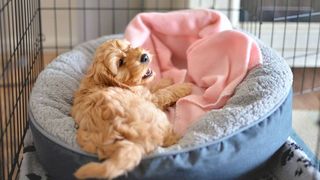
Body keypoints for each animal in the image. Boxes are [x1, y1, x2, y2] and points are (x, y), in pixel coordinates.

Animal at [71, 39, 191, 179]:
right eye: (120, 62)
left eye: (129, 47)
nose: (144, 57)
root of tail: (124, 141)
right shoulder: (150, 99)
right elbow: (164, 93)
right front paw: (184, 86)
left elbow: (153, 86)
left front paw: (166, 80)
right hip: (157, 117)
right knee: (166, 140)